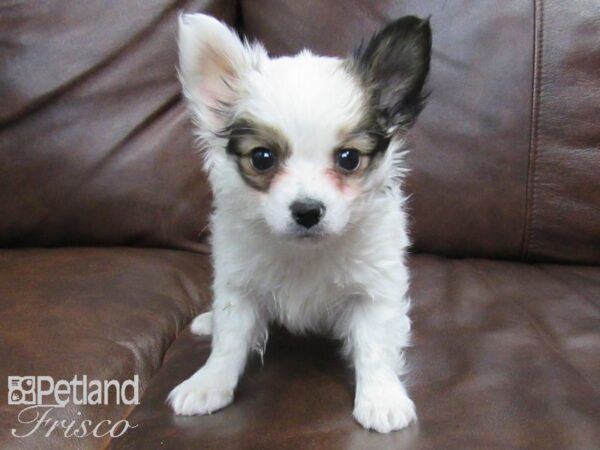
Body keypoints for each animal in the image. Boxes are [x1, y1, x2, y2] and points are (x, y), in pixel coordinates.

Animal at [169, 13, 432, 432]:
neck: (305, 252)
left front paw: (381, 398)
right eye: (262, 158)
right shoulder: (238, 285)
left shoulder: (375, 290)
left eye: (349, 159)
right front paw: (209, 383)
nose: (307, 210)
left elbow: (374, 346)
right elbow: (229, 340)